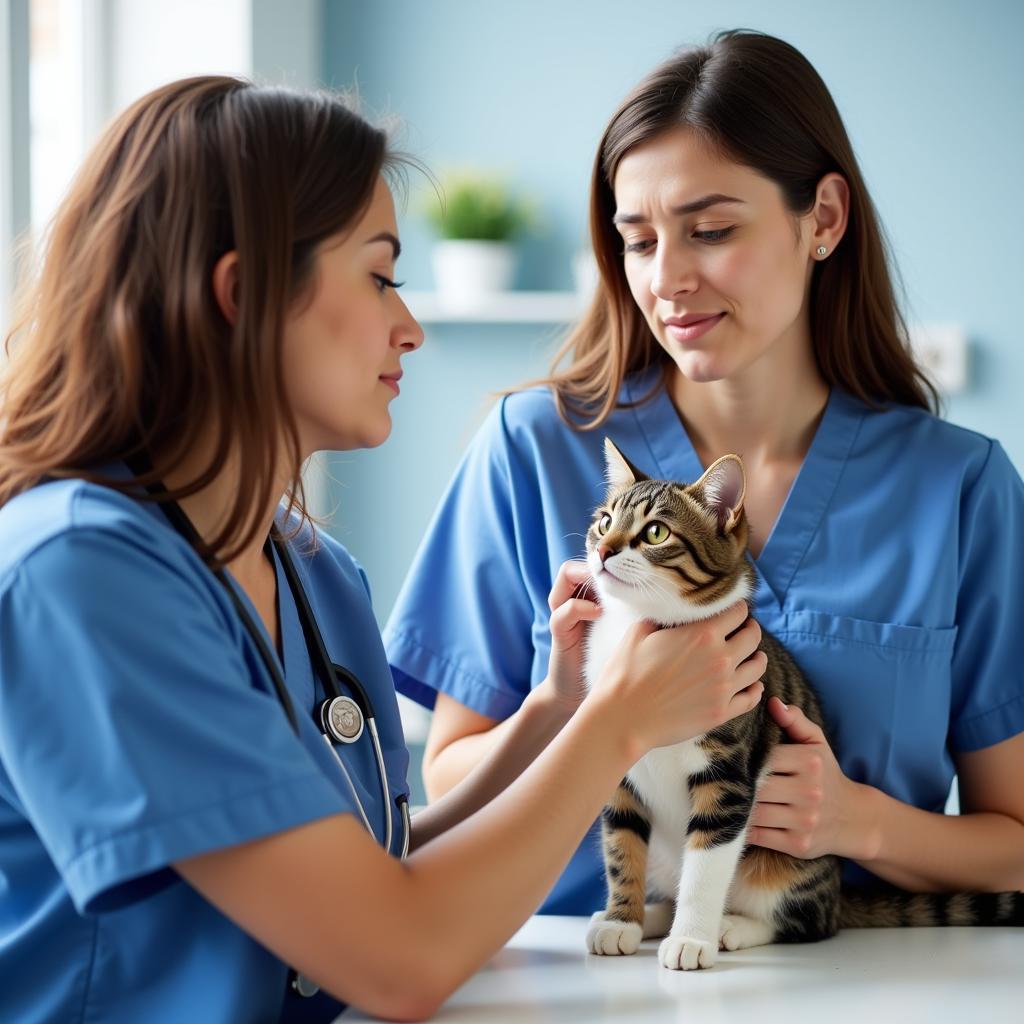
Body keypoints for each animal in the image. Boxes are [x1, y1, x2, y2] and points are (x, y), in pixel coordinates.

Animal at [581, 438, 1019, 966]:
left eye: (655, 532)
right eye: (605, 521)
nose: (604, 550)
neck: (644, 627)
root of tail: (836, 890)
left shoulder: (728, 773)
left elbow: (706, 861)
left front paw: (691, 938)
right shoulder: (619, 771)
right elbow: (621, 845)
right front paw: (621, 919)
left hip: (795, 870)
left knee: (807, 921)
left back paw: (730, 927)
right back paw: (652, 916)